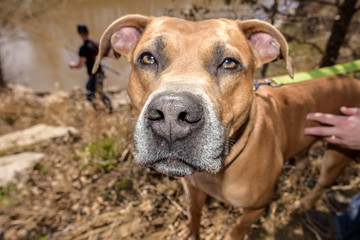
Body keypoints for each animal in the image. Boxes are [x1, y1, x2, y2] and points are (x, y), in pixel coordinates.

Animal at [93, 14, 360, 238]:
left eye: (229, 63)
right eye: (148, 58)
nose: (171, 114)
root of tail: (351, 80)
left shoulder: (255, 208)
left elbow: (237, 228)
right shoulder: (193, 189)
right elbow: (195, 211)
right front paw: (191, 231)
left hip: (337, 153)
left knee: (321, 184)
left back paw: (303, 205)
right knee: (303, 157)